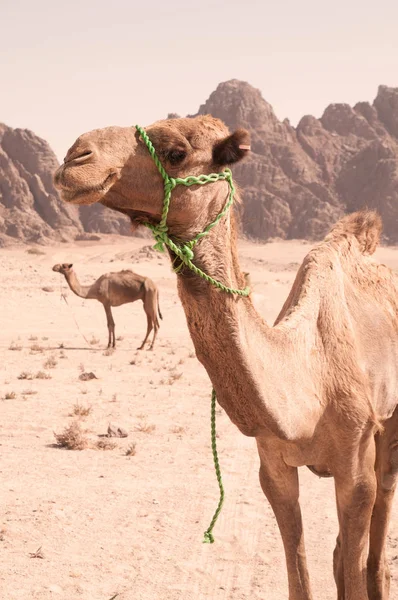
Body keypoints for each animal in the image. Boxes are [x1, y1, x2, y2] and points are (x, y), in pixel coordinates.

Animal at [55, 116, 398, 600]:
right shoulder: (273, 467)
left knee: (378, 533)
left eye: (176, 152)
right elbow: (299, 578)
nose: (75, 158)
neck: (308, 382)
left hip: (387, 431)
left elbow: (355, 563)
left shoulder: (355, 466)